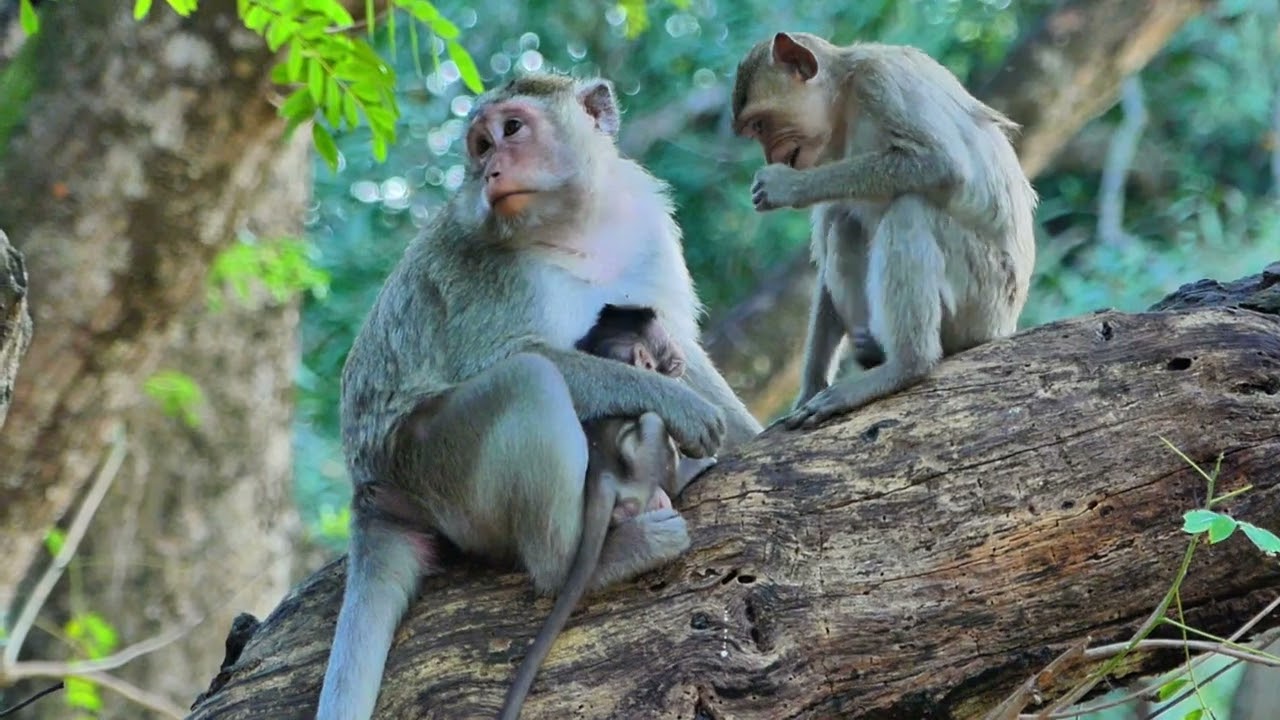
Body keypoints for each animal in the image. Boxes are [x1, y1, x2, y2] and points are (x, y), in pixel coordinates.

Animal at [731, 32, 1037, 429]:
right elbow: (832, 228)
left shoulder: (881, 83)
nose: (770, 157)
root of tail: (1004, 326)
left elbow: (944, 163)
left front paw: (787, 186)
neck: (844, 99)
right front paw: (810, 389)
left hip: (982, 299)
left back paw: (907, 366)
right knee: (844, 220)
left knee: (909, 210)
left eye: (759, 124)